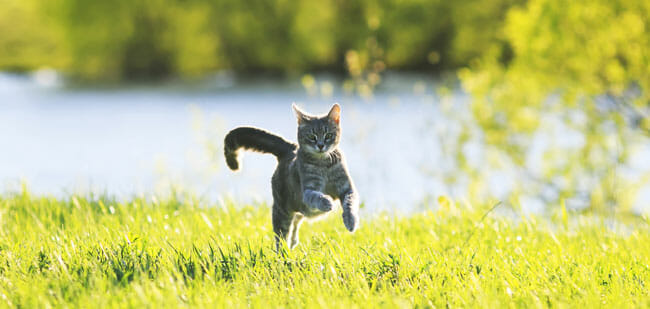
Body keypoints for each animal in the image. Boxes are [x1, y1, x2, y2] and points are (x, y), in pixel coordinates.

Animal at [224, 103, 360, 248]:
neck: (324, 164)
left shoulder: (347, 188)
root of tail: (290, 148)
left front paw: (351, 221)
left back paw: (293, 241)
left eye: (328, 135)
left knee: (295, 222)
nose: (321, 145)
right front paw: (326, 201)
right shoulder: (308, 190)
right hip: (281, 210)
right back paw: (284, 251)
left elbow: (350, 203)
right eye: (312, 136)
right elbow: (316, 196)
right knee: (281, 237)